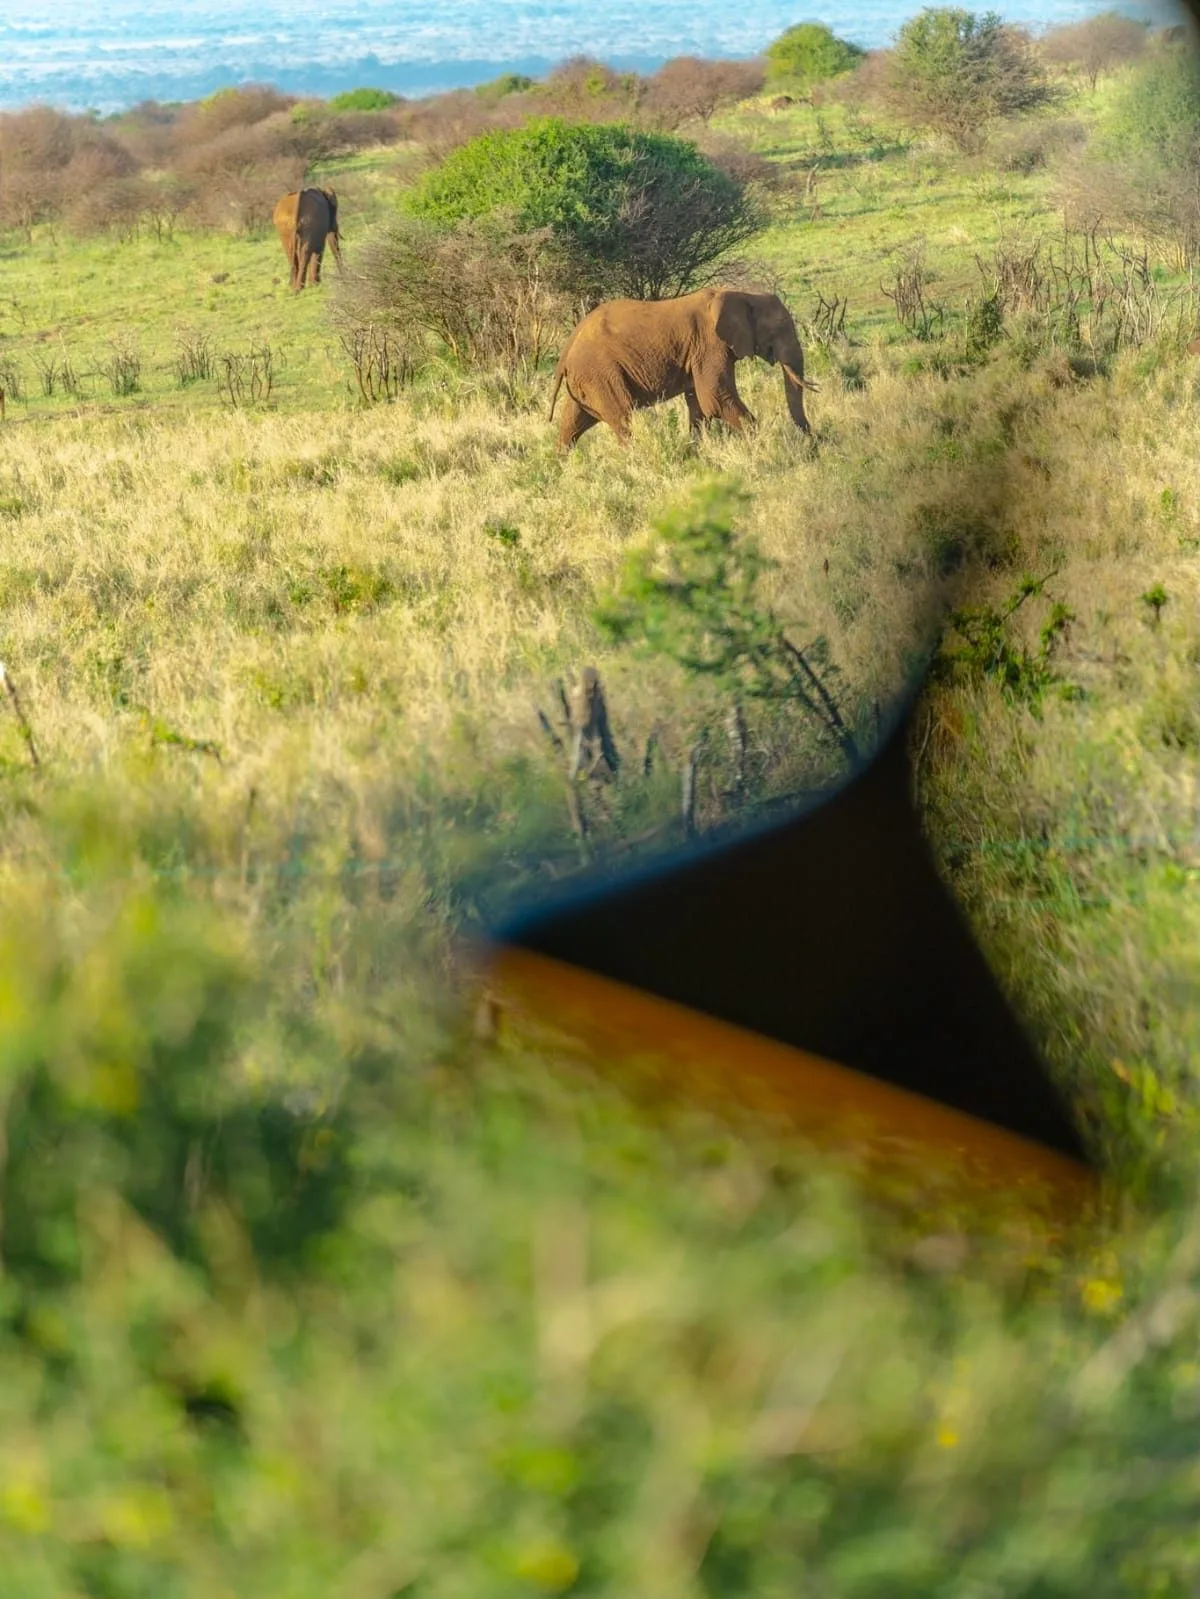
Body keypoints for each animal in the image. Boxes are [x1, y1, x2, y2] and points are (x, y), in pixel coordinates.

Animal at [548, 286, 818, 451]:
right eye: (779, 330)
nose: (814, 441)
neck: (742, 293)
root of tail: (565, 355)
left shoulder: (698, 352)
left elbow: (699, 404)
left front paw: (698, 450)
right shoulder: (709, 345)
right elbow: (715, 398)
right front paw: (768, 442)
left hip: (588, 380)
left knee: (572, 423)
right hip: (601, 375)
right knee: (624, 419)